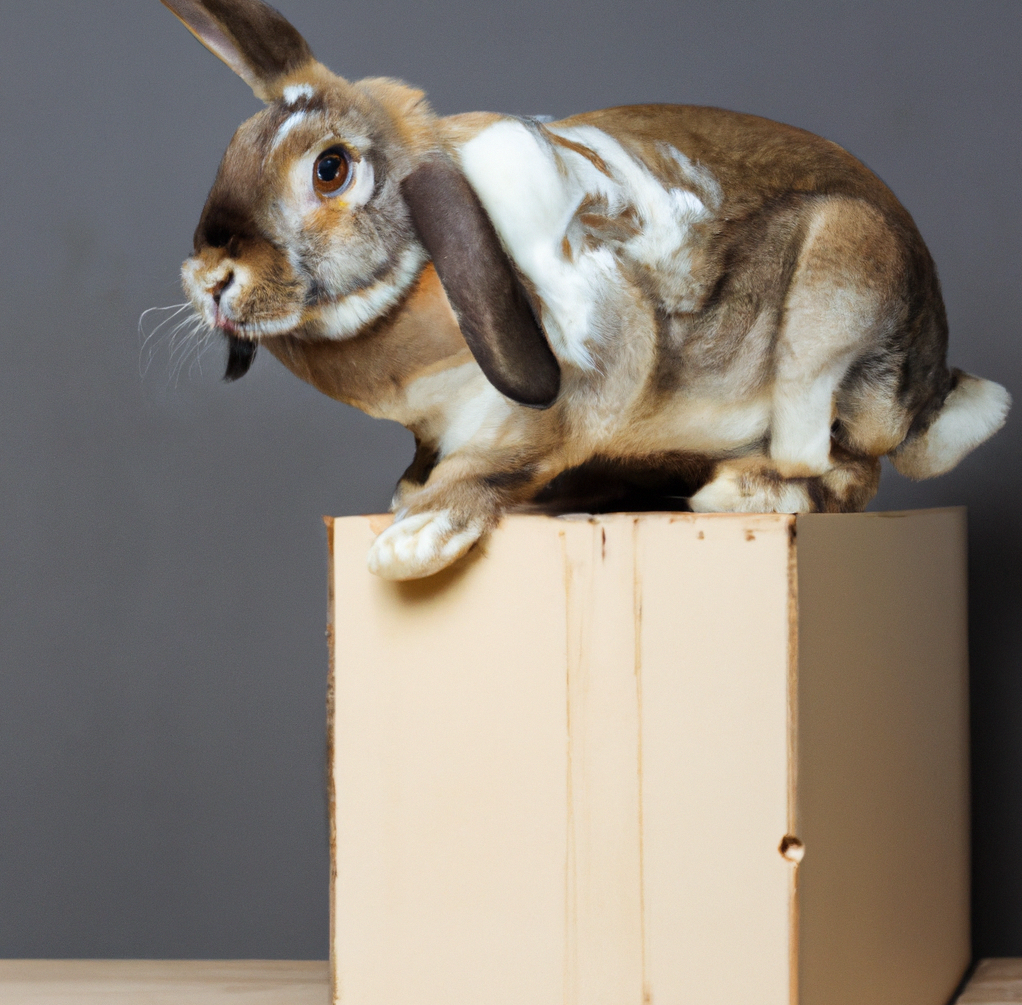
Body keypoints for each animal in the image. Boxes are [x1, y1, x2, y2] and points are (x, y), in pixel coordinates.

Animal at [163, 0, 1009, 580]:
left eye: (331, 168)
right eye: (233, 151)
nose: (209, 278)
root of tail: (931, 382)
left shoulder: (583, 373)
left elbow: (494, 461)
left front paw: (415, 539)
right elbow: (431, 455)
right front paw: (407, 498)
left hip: (834, 296)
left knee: (843, 466)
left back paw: (743, 490)